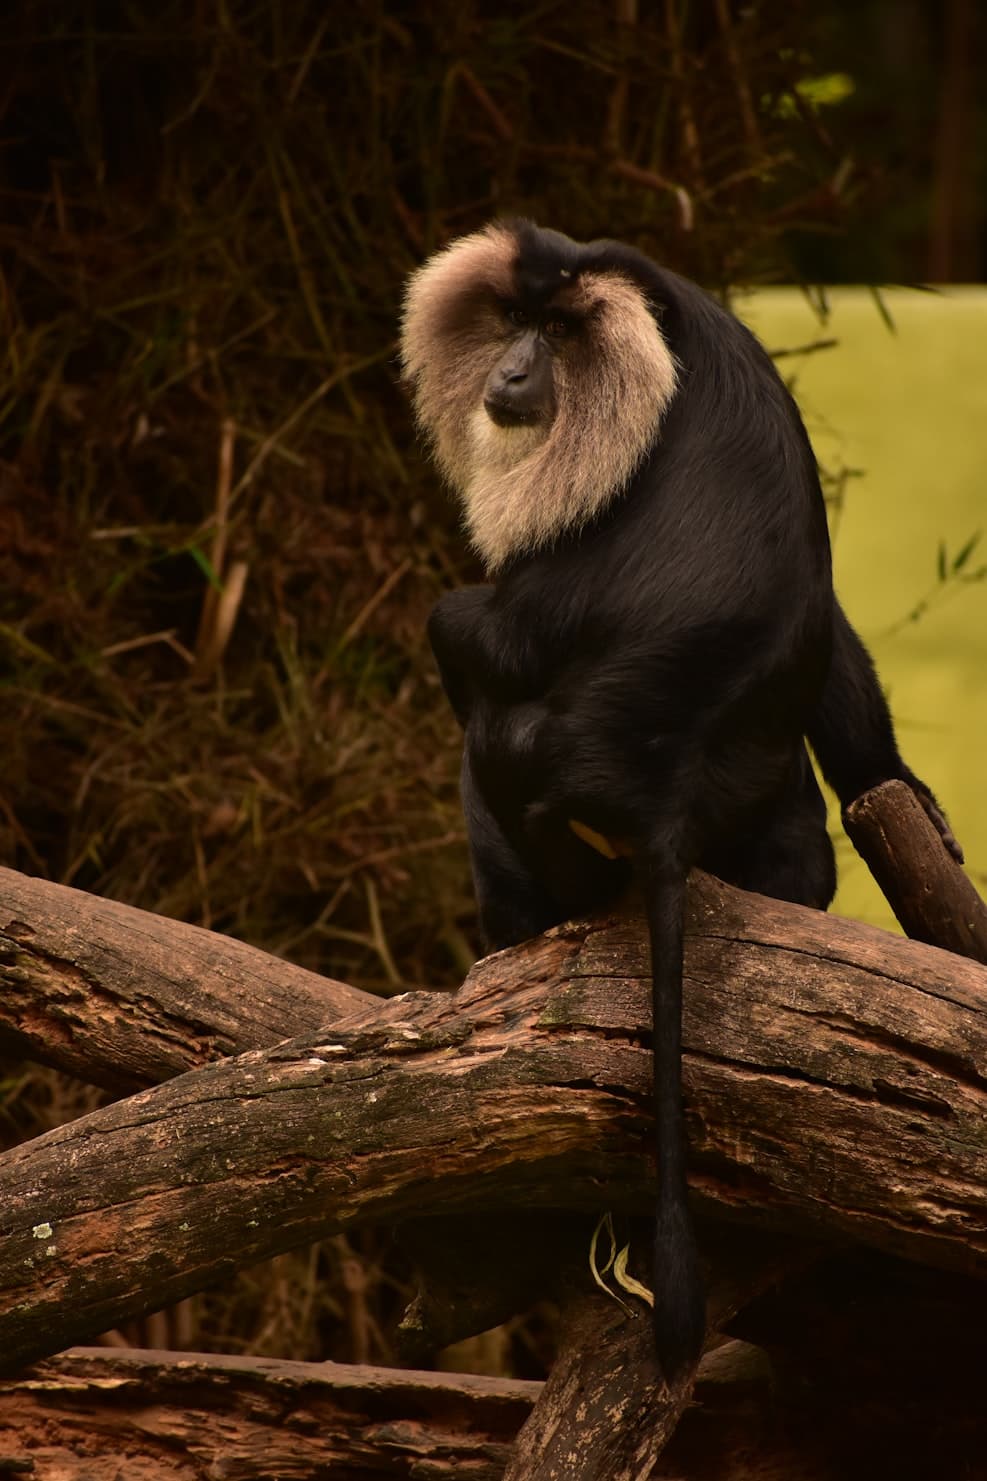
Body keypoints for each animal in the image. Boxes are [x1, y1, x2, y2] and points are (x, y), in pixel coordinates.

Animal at [400, 220, 960, 1388]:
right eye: (515, 321)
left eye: (562, 334)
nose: (512, 372)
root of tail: (660, 804)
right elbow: (824, 620)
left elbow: (485, 626)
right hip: (770, 826)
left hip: (545, 798)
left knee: (480, 688)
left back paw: (525, 939)